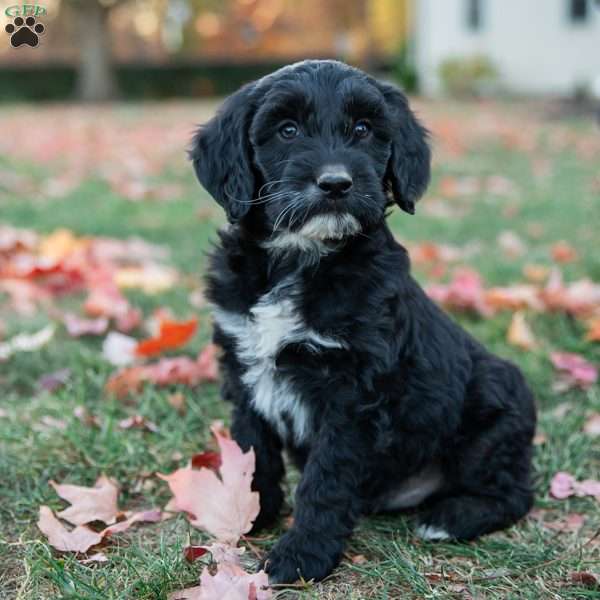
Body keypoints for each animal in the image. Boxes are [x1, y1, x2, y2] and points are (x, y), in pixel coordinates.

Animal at [191, 61, 536, 584]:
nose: (335, 183)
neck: (300, 258)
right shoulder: (243, 366)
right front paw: (251, 514)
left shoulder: (351, 394)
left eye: (363, 129)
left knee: (515, 491)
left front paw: (301, 556)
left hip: (496, 408)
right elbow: (255, 451)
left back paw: (450, 517)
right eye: (287, 130)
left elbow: (326, 478)